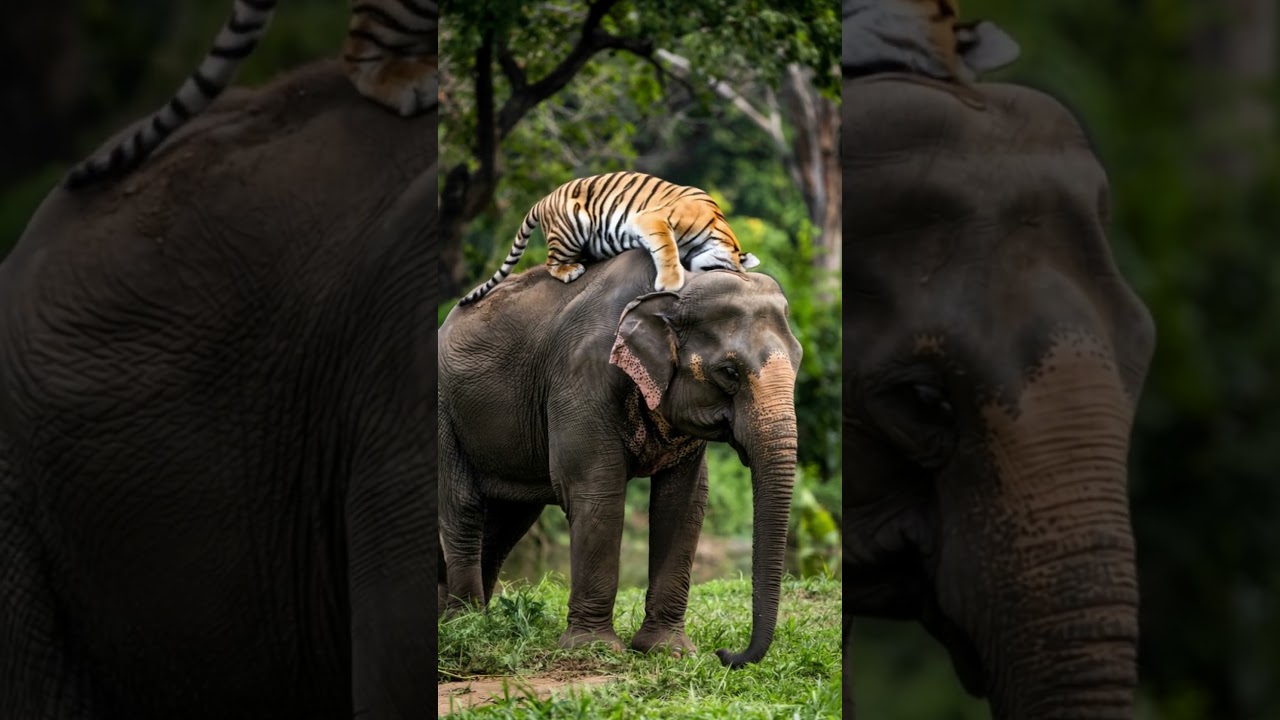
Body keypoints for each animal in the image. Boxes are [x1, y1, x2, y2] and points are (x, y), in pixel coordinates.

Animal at [438, 249, 803, 667]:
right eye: (729, 371)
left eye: (798, 361)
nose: (725, 653)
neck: (676, 286)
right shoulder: (582, 375)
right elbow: (596, 490)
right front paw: (592, 648)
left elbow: (684, 502)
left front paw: (668, 650)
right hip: (445, 412)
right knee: (464, 507)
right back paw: (465, 626)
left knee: (508, 521)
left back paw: (467, 622)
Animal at [457, 171, 759, 306]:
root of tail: (543, 200)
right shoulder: (651, 219)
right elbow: (667, 249)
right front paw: (670, 283)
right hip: (573, 226)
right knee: (551, 263)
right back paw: (570, 271)